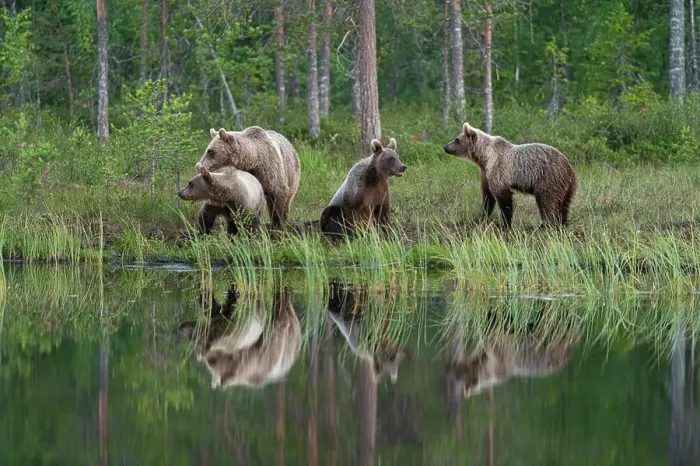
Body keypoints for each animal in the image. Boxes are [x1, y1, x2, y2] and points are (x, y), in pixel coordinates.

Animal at [443, 122, 578, 229]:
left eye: (456, 139)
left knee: (547, 202)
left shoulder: (499, 170)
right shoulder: (485, 174)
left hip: (548, 178)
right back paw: (562, 223)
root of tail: (569, 167)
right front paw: (479, 219)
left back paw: (545, 226)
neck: (484, 158)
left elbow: (504, 198)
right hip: (568, 185)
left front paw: (505, 224)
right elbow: (487, 197)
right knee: (565, 204)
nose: (445, 147)